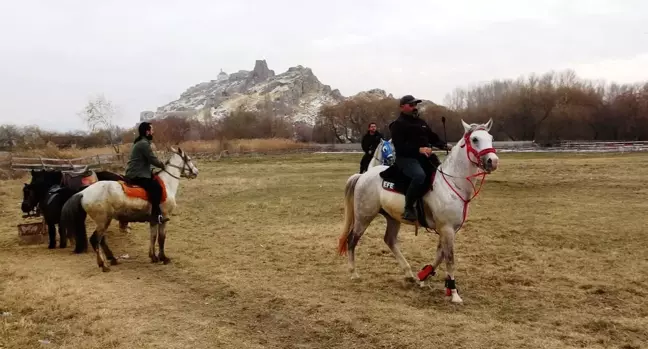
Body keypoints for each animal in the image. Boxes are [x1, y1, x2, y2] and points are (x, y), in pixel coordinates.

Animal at [61, 145, 199, 270]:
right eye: (189, 159)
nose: (196, 172)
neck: (166, 184)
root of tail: (83, 192)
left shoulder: (153, 220)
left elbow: (153, 236)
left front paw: (153, 257)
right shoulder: (163, 217)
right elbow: (161, 238)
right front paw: (163, 258)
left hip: (104, 221)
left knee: (101, 240)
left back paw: (112, 259)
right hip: (103, 221)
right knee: (95, 240)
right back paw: (103, 265)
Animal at [336, 117, 498, 302]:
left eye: (490, 138)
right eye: (475, 139)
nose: (493, 161)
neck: (452, 184)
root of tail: (363, 176)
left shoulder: (448, 230)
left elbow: (440, 255)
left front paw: (424, 276)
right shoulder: (447, 229)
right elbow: (449, 258)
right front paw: (454, 293)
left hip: (392, 218)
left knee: (390, 240)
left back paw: (409, 273)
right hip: (364, 216)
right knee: (352, 240)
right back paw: (354, 273)